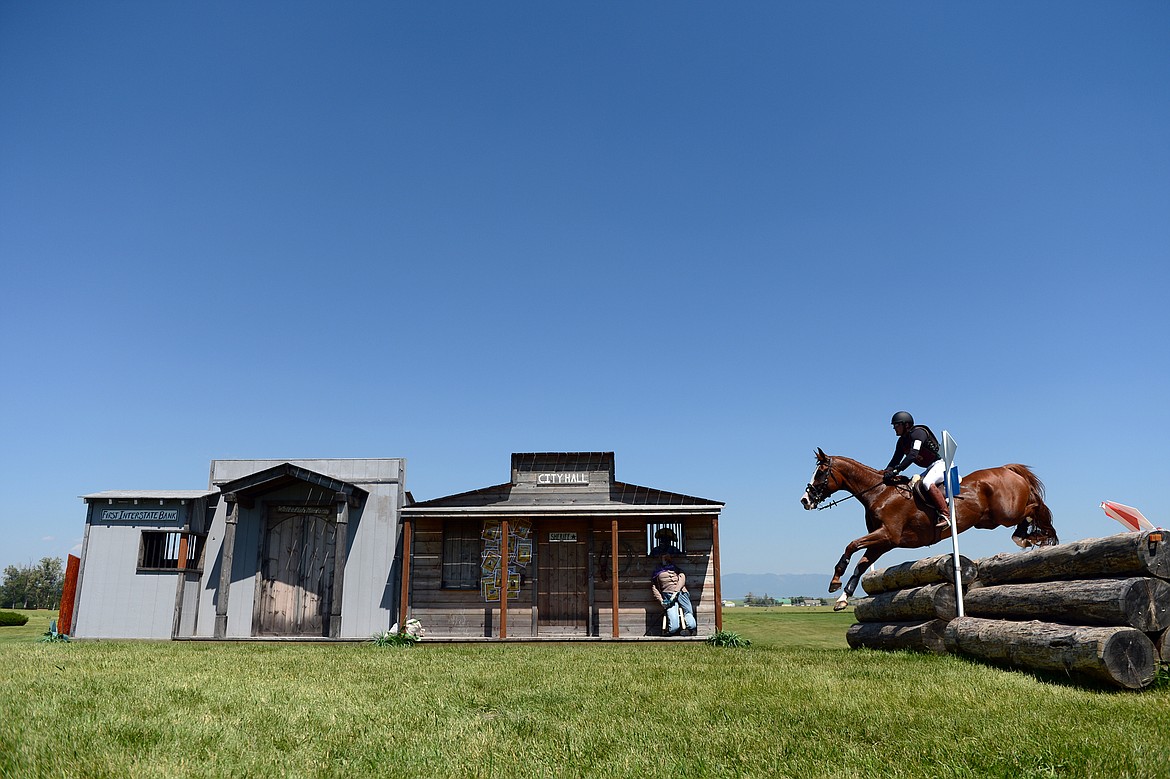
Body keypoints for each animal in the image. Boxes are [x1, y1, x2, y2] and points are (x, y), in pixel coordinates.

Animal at [800, 449, 1057, 608]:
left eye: (820, 473)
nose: (805, 500)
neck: (879, 493)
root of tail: (1006, 469)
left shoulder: (887, 535)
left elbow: (850, 546)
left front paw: (835, 582)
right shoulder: (882, 543)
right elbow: (860, 566)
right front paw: (842, 598)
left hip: (1006, 513)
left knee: (1034, 507)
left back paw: (1033, 536)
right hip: (988, 520)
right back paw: (1028, 536)